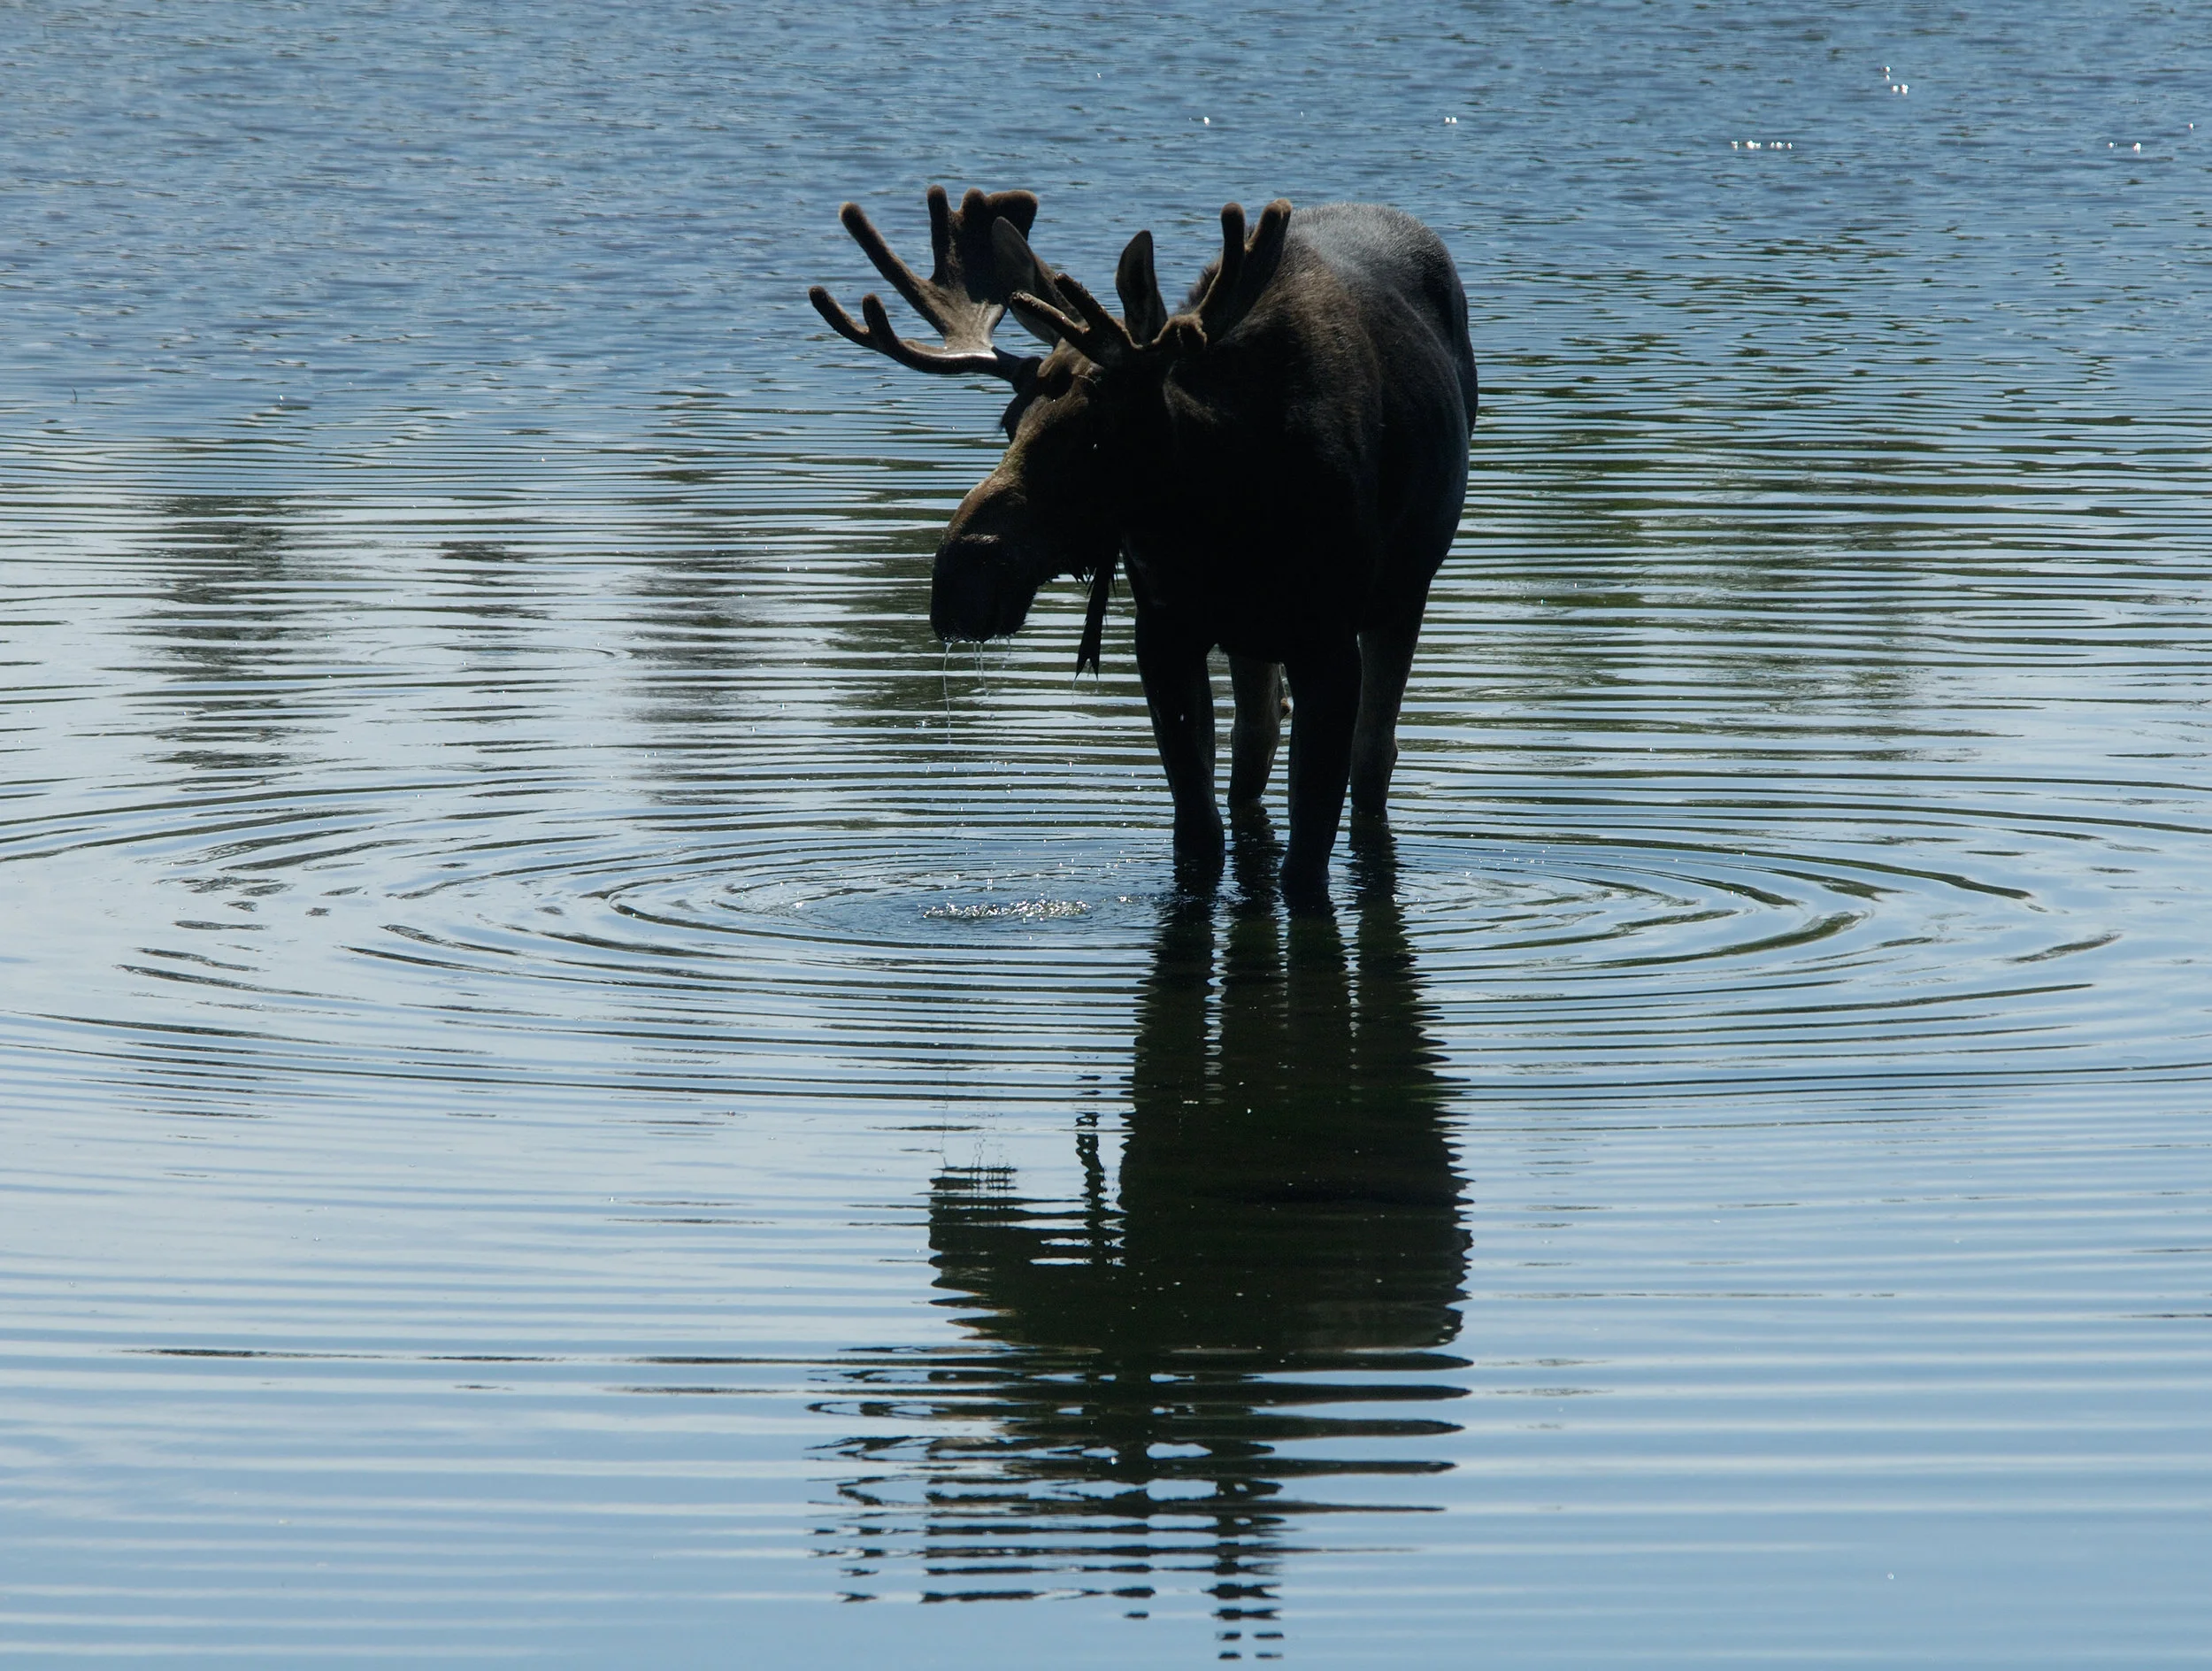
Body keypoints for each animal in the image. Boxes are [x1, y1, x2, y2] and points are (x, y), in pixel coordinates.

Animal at [810, 186, 1476, 902]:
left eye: (1097, 432)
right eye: (1009, 422)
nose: (961, 577)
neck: (1227, 512)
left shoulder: (1324, 641)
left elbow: (1306, 864)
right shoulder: (1164, 633)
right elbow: (1198, 839)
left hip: (1402, 593)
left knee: (1374, 757)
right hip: (1252, 636)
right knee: (1255, 742)